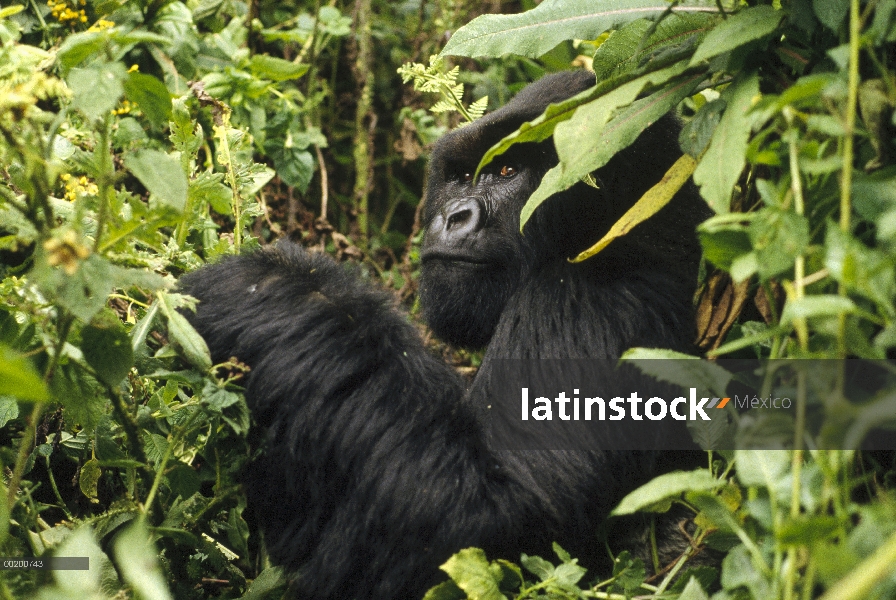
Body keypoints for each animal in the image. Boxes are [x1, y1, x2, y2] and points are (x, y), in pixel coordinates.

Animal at [182, 71, 712, 600]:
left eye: (507, 171)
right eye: (459, 177)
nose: (454, 215)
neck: (629, 219)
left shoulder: (586, 303)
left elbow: (490, 522)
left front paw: (270, 287)